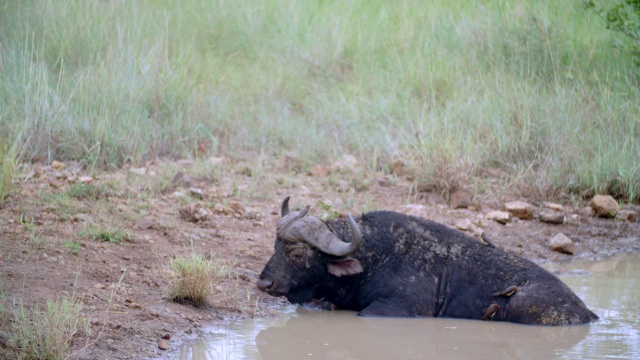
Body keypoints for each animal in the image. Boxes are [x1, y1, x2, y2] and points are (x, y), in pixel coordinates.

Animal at [258, 197, 596, 326]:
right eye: (275, 245)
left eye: (297, 253)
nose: (264, 282)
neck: (374, 258)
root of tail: (588, 312)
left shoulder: (394, 309)